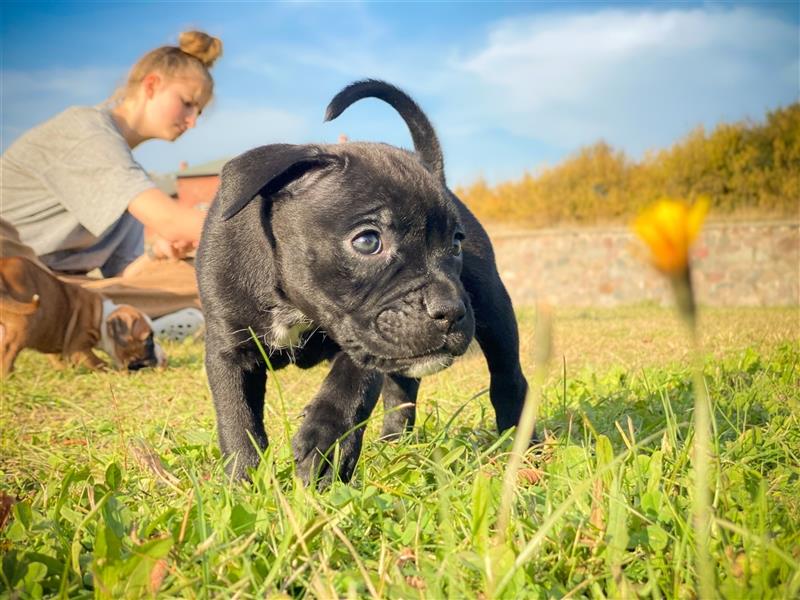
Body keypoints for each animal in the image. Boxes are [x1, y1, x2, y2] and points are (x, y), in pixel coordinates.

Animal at [0, 256, 166, 378]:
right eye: (148, 339)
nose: (164, 358)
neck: (101, 318)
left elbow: (56, 358)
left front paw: (63, 372)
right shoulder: (79, 349)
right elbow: (98, 363)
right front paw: (114, 373)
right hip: (22, 326)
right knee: (8, 351)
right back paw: (8, 377)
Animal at [197, 78, 528, 482]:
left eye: (455, 243)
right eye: (368, 241)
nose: (450, 311)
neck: (291, 303)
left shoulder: (367, 336)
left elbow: (349, 387)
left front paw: (326, 444)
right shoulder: (228, 350)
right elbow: (237, 419)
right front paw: (244, 482)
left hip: (494, 310)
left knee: (508, 377)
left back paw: (521, 443)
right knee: (402, 389)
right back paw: (395, 445)